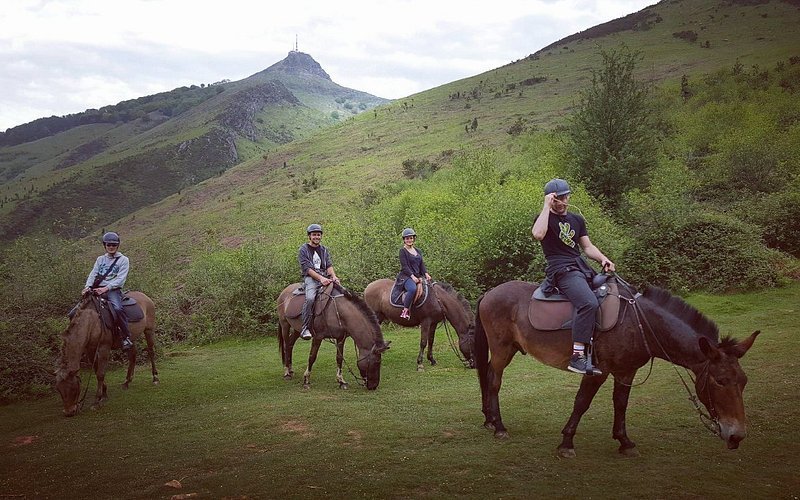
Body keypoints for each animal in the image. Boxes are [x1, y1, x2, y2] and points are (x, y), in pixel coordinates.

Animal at [478, 278, 760, 458]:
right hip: (502, 350)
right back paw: (500, 427)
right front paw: (566, 442)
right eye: (720, 380)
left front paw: (624, 442)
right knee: (494, 380)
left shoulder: (626, 371)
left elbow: (621, 404)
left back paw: (491, 421)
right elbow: (581, 403)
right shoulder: (597, 372)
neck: (638, 323)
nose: (737, 436)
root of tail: (489, 293)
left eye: (744, 381)